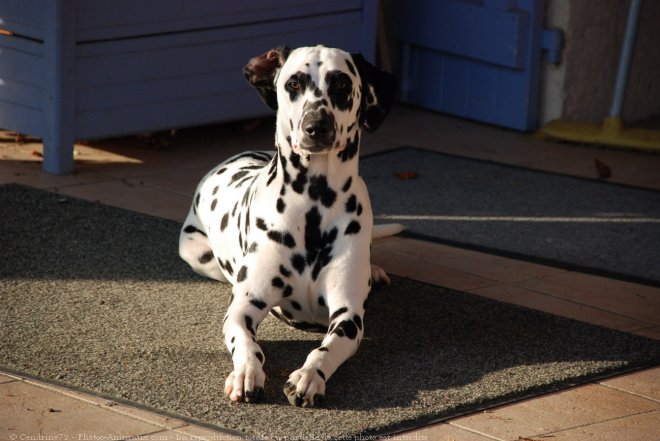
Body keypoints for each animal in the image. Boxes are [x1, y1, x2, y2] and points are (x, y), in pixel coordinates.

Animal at [179, 44, 398, 406]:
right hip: (197, 254)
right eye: (294, 83)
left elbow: (327, 348)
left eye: (341, 84)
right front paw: (246, 372)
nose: (316, 125)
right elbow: (244, 340)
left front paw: (309, 376)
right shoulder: (243, 307)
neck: (313, 203)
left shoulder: (348, 315)